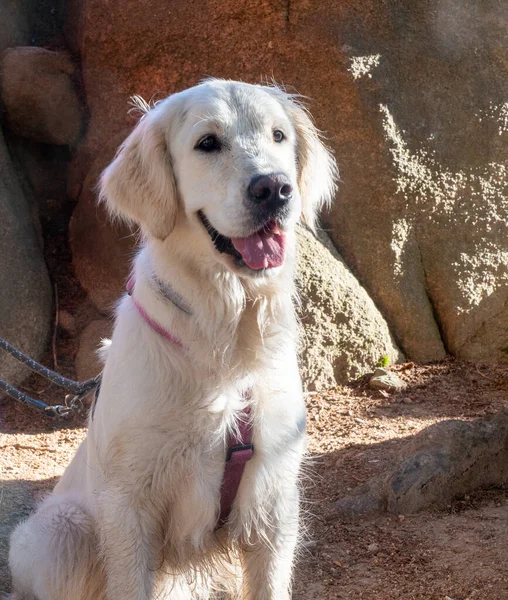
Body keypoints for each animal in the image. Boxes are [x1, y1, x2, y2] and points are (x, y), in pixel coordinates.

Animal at [7, 79, 338, 600]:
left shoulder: (273, 500)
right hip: (61, 532)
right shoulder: (128, 506)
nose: (274, 188)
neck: (224, 332)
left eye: (278, 136)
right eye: (208, 143)